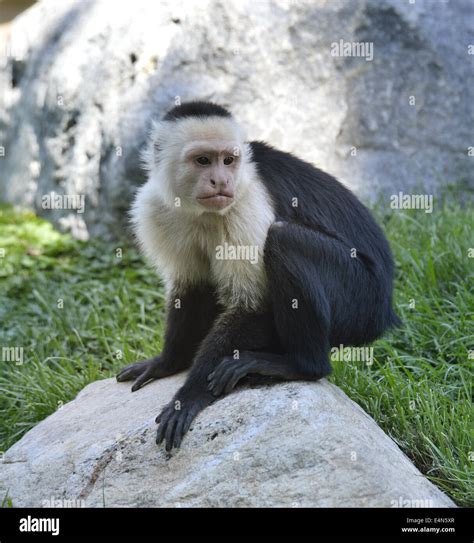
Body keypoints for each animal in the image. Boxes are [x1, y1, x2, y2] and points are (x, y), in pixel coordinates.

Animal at [117, 101, 400, 450]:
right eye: (203, 160)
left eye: (228, 160)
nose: (221, 181)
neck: (203, 212)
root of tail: (386, 308)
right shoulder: (157, 209)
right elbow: (192, 289)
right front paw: (167, 362)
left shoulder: (246, 202)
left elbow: (255, 306)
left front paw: (190, 395)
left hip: (362, 301)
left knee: (283, 239)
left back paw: (301, 366)